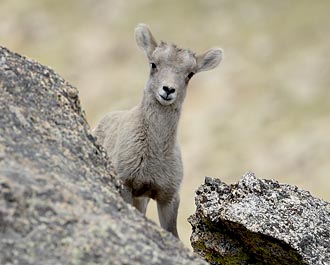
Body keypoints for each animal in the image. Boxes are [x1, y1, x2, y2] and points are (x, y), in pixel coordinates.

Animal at [93, 23, 223, 236]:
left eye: (190, 74)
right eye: (153, 64)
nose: (168, 90)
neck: (155, 153)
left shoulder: (167, 197)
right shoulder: (127, 185)